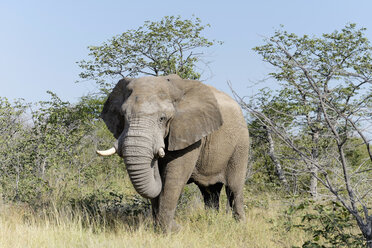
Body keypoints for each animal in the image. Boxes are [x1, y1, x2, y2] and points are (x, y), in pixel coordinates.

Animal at [97, 74, 250, 232]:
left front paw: (168, 231)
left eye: (162, 118)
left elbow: (173, 178)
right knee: (209, 191)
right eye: (123, 116)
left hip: (241, 144)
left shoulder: (189, 131)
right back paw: (211, 222)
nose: (179, 226)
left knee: (234, 188)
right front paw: (160, 229)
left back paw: (240, 225)